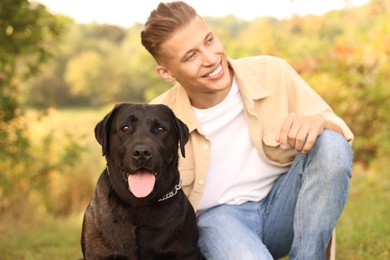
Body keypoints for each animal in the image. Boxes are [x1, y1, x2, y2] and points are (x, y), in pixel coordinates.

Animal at [82, 103, 204, 260]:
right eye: (125, 128)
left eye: (160, 129)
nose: (142, 153)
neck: (138, 206)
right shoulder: (98, 253)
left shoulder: (186, 252)